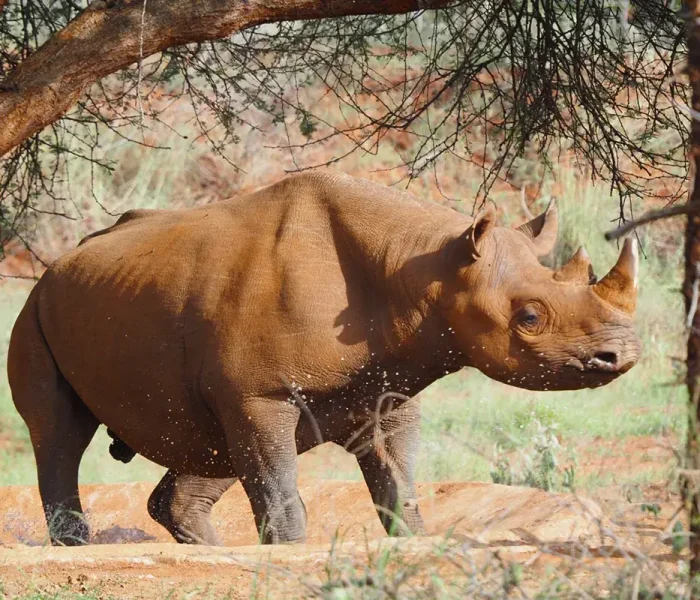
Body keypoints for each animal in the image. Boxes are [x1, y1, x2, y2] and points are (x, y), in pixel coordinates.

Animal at [7, 171, 640, 546]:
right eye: (529, 317)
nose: (624, 354)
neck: (422, 265)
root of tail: (60, 262)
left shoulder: (386, 389)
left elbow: (399, 492)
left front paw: (409, 544)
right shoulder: (261, 394)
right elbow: (280, 496)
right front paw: (287, 555)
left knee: (211, 444)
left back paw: (211, 553)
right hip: (35, 309)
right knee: (60, 435)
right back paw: (74, 547)